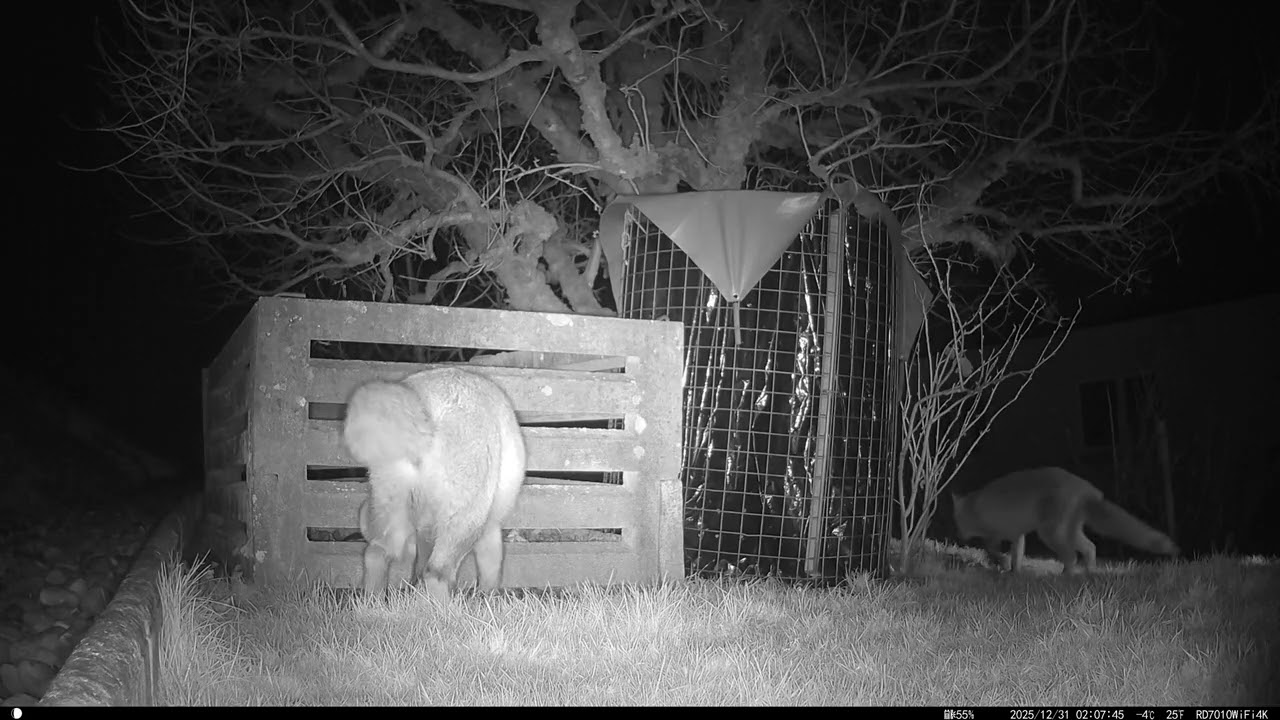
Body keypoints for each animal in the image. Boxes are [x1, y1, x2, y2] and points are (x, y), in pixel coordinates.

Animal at [342, 367, 526, 600]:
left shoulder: (426, 529)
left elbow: (419, 566)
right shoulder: (489, 528)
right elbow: (490, 571)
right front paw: (486, 599)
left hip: (390, 504)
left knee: (375, 554)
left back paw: (373, 603)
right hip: (464, 517)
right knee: (437, 572)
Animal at [951, 467, 1179, 574]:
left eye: (958, 523)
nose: (959, 537)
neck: (974, 506)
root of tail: (1084, 486)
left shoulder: (997, 534)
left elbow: (993, 551)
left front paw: (1004, 565)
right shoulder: (1018, 534)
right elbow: (1017, 555)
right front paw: (1014, 572)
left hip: (1051, 533)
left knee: (1072, 556)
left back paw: (1065, 575)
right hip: (1070, 531)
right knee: (1090, 548)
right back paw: (1089, 572)